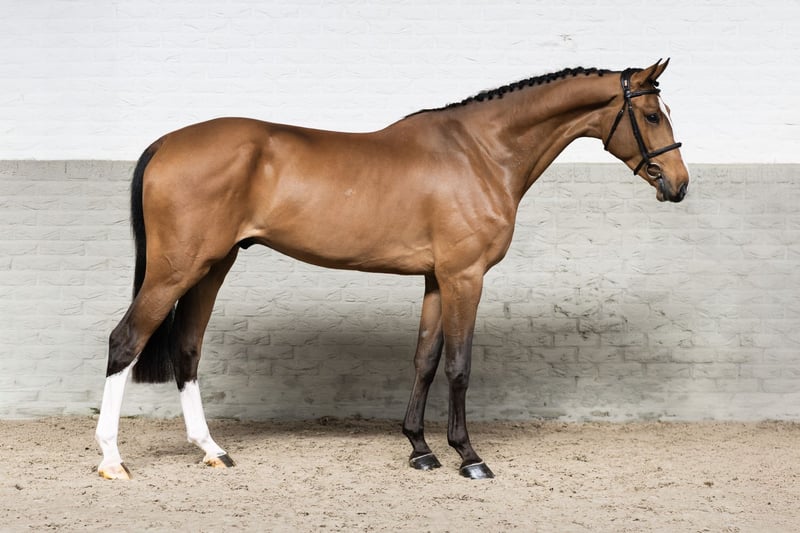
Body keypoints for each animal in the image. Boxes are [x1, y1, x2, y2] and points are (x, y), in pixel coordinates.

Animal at [95, 59, 688, 480]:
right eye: (652, 116)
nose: (678, 184)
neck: (479, 153)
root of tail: (166, 142)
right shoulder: (465, 277)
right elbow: (459, 365)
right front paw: (468, 456)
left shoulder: (436, 280)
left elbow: (425, 359)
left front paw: (420, 449)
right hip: (177, 268)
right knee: (125, 341)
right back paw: (111, 461)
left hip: (212, 267)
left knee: (187, 349)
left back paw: (212, 450)